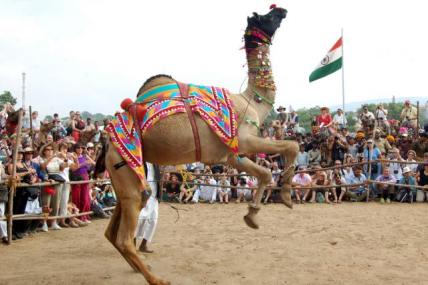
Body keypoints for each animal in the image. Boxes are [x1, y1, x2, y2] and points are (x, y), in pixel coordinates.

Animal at [97, 5, 298, 282]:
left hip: (122, 176)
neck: (251, 101)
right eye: (266, 17)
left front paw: (252, 216)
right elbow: (292, 146)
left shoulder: (232, 154)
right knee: (126, 233)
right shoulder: (245, 139)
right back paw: (157, 279)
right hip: (126, 165)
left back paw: (141, 268)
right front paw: (286, 195)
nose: (282, 10)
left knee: (112, 231)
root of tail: (107, 140)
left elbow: (266, 172)